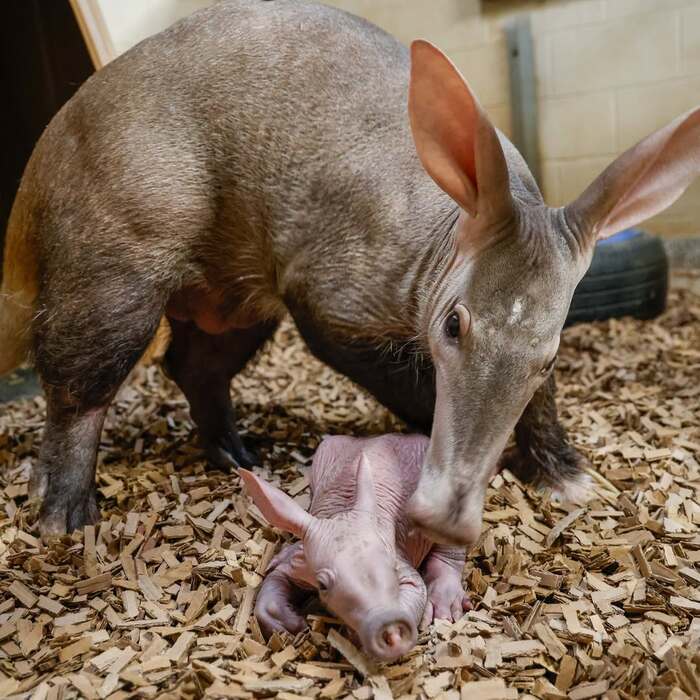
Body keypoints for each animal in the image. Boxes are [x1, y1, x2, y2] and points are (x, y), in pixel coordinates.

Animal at [1, 0, 699, 542]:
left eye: (553, 353)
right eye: (452, 326)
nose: (447, 520)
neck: (446, 228)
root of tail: (31, 181)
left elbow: (539, 399)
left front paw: (569, 478)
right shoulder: (337, 292)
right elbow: (380, 363)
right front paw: (430, 432)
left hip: (233, 296)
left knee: (194, 363)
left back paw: (236, 454)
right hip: (111, 248)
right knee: (81, 374)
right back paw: (63, 512)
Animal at [240, 434, 470, 661]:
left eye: (391, 568)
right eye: (322, 585)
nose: (387, 624)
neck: (343, 511)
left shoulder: (397, 551)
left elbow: (416, 587)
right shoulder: (307, 562)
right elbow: (279, 577)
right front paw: (289, 624)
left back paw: (443, 603)